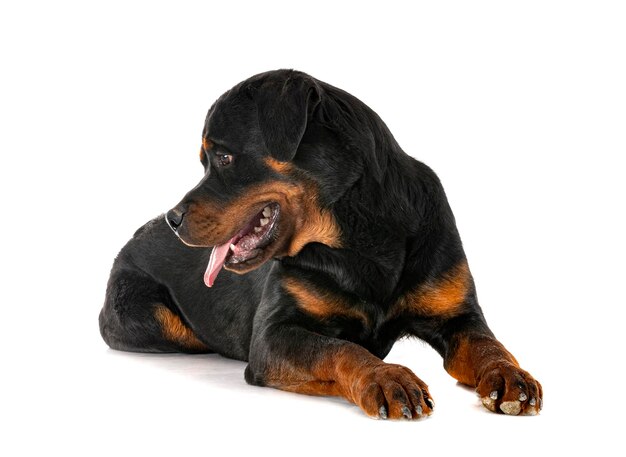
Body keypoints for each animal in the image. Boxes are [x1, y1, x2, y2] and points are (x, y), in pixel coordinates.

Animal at [100, 69, 540, 418]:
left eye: (222, 158)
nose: (173, 219)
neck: (359, 238)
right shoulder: (273, 334)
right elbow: (339, 349)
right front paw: (386, 377)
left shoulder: (457, 315)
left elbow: (488, 345)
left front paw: (509, 375)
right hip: (147, 316)